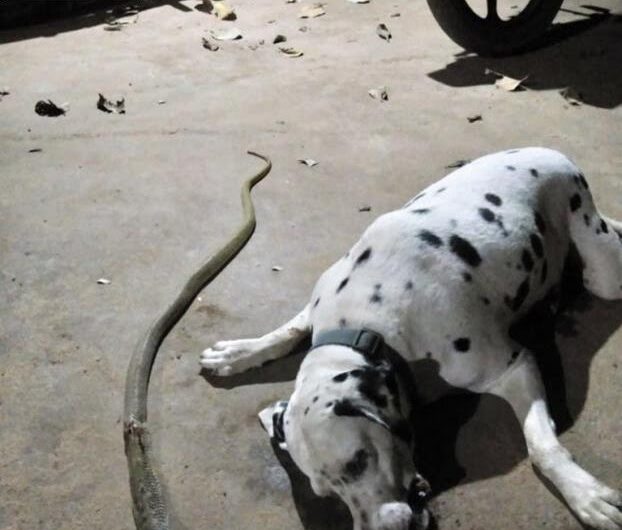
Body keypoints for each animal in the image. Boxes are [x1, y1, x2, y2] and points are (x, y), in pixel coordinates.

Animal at [201, 147, 622, 528]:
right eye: (327, 493)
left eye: (358, 461)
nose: (384, 527)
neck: (371, 322)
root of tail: (550, 152)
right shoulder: (317, 307)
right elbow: (284, 333)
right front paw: (235, 353)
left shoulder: (513, 367)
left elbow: (542, 447)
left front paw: (584, 494)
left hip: (601, 267)